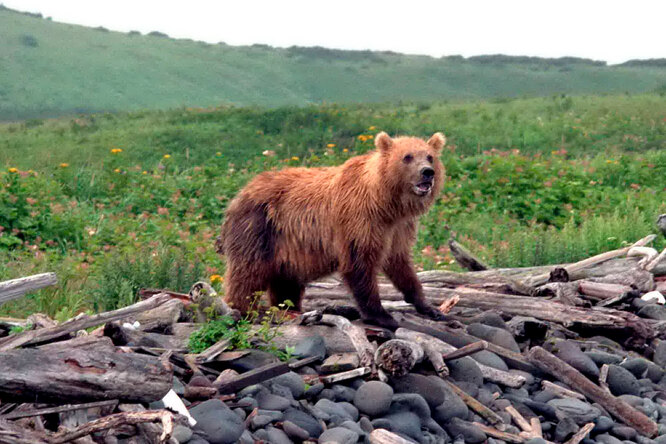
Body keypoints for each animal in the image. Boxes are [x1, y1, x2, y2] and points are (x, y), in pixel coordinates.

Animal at [218, 130, 446, 328]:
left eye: (429, 156)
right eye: (407, 157)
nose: (427, 172)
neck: (386, 202)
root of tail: (240, 193)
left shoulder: (398, 228)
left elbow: (399, 262)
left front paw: (429, 307)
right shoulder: (359, 220)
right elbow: (359, 264)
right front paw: (382, 315)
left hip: (286, 248)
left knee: (285, 282)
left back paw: (290, 308)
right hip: (258, 228)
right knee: (248, 272)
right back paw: (246, 309)